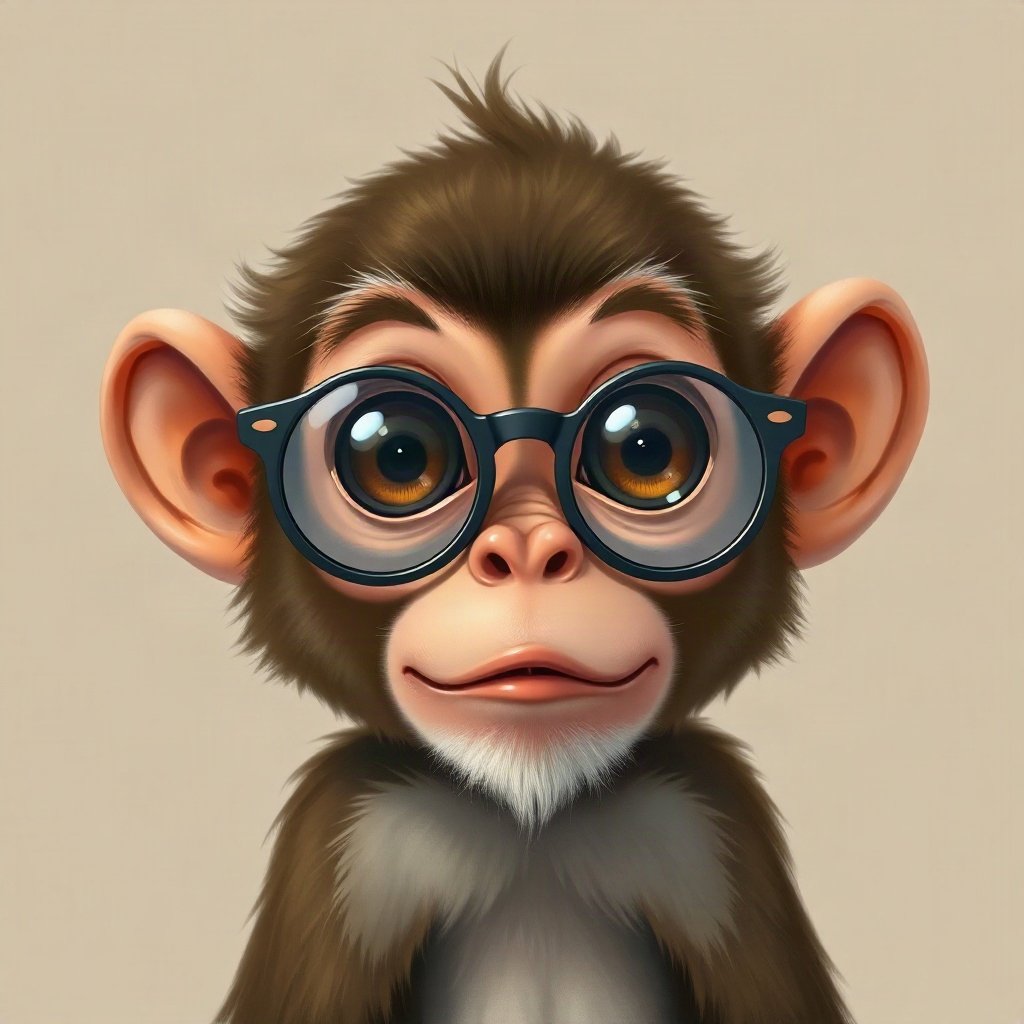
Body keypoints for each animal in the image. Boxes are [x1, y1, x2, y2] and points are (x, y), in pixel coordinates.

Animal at [99, 55, 928, 1024]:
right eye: (397, 452)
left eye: (646, 446)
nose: (528, 556)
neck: (533, 823)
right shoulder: (350, 846)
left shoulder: (711, 836)